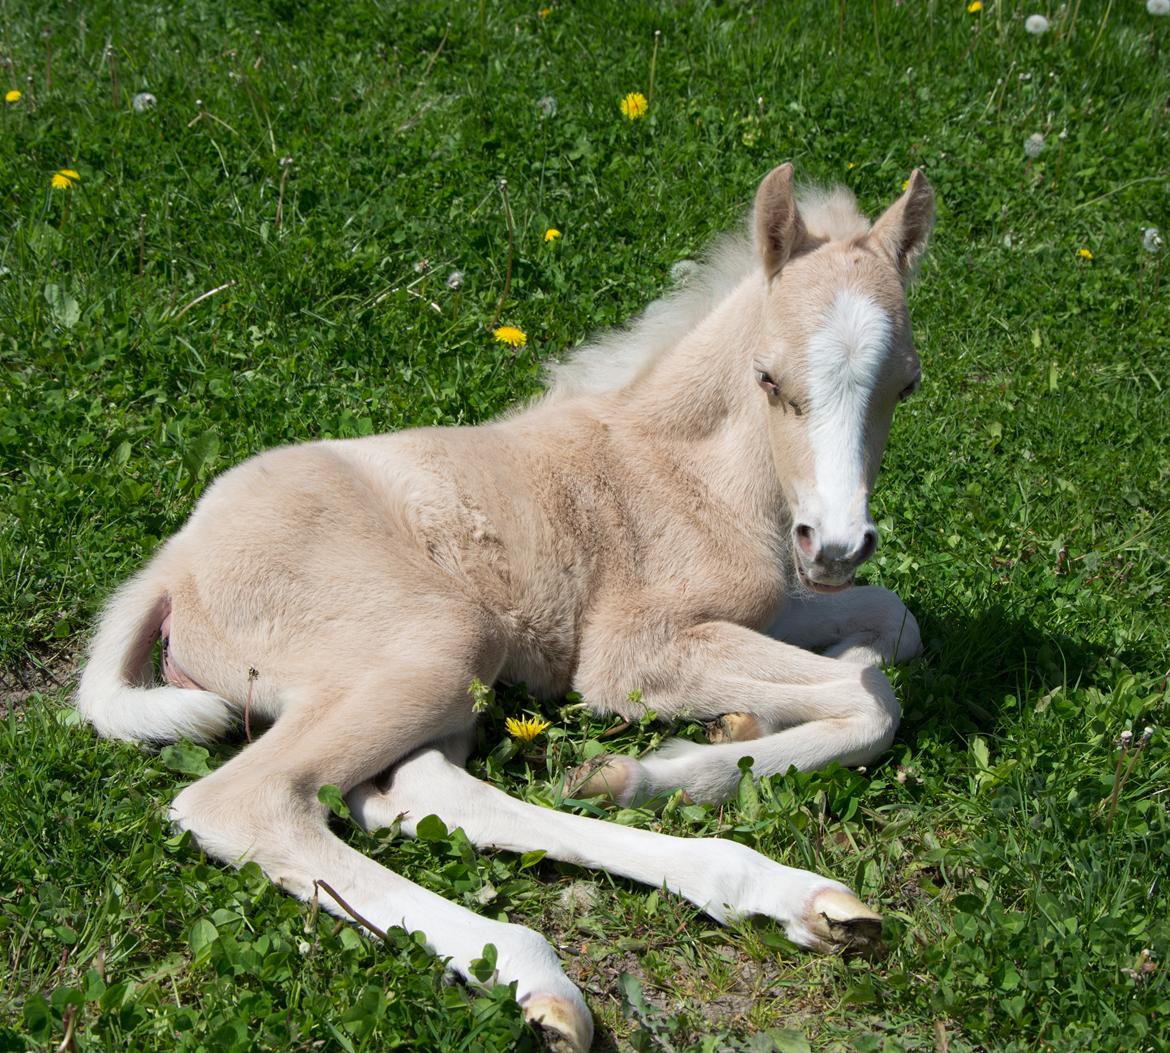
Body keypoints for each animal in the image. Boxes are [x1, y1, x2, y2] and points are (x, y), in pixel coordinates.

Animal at [78, 162, 934, 1052]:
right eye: (769, 378)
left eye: (906, 384)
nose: (833, 546)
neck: (688, 468)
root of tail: (172, 566)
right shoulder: (633, 651)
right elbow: (874, 698)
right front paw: (680, 753)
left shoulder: (762, 608)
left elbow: (894, 625)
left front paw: (733, 725)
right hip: (441, 638)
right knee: (249, 800)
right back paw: (536, 971)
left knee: (415, 790)